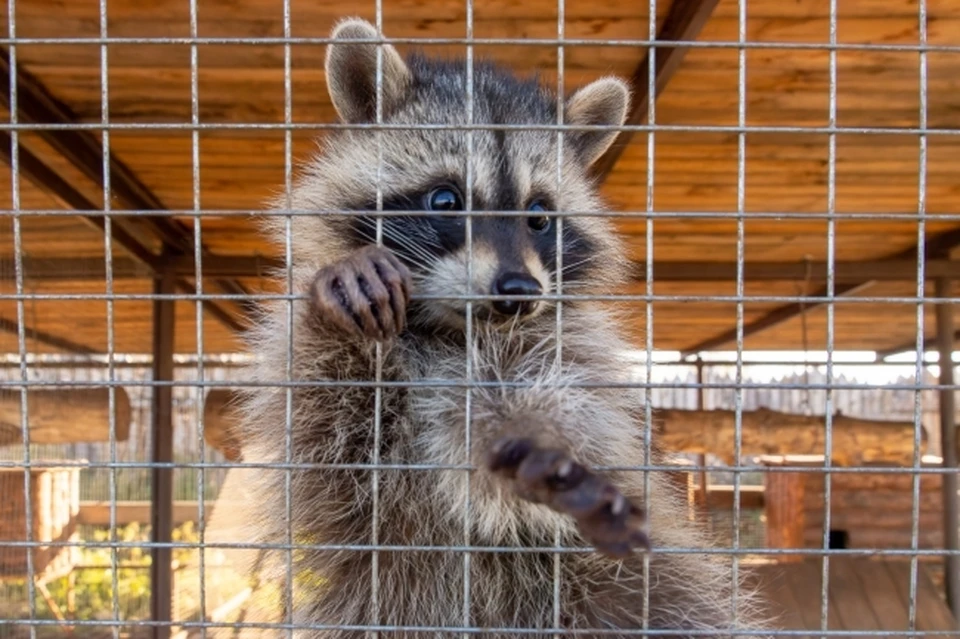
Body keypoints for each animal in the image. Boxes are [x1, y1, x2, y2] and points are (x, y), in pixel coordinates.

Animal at [234, 15, 772, 639]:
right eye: (446, 199)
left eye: (539, 214)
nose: (519, 293)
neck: (450, 329)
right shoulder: (341, 471)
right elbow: (328, 430)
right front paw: (337, 311)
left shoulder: (563, 343)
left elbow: (561, 401)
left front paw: (537, 436)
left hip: (643, 591)